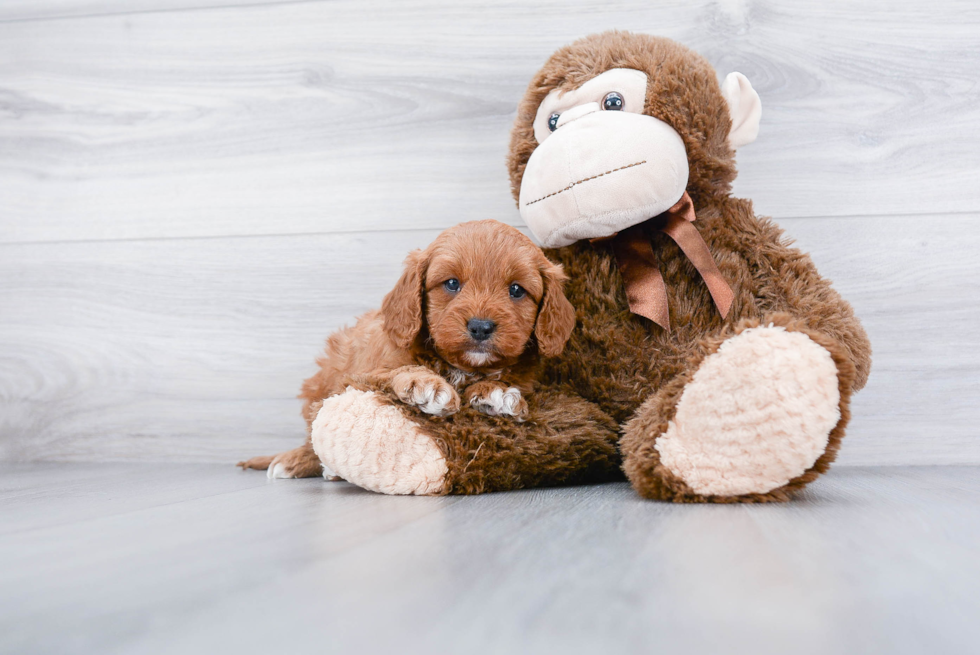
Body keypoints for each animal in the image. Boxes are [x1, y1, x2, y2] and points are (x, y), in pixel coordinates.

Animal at [236, 220, 576, 482]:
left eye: (516, 290)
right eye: (452, 284)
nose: (480, 327)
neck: (461, 367)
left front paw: (497, 393)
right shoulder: (363, 372)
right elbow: (398, 370)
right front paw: (425, 384)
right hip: (321, 385)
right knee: (313, 433)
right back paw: (297, 461)